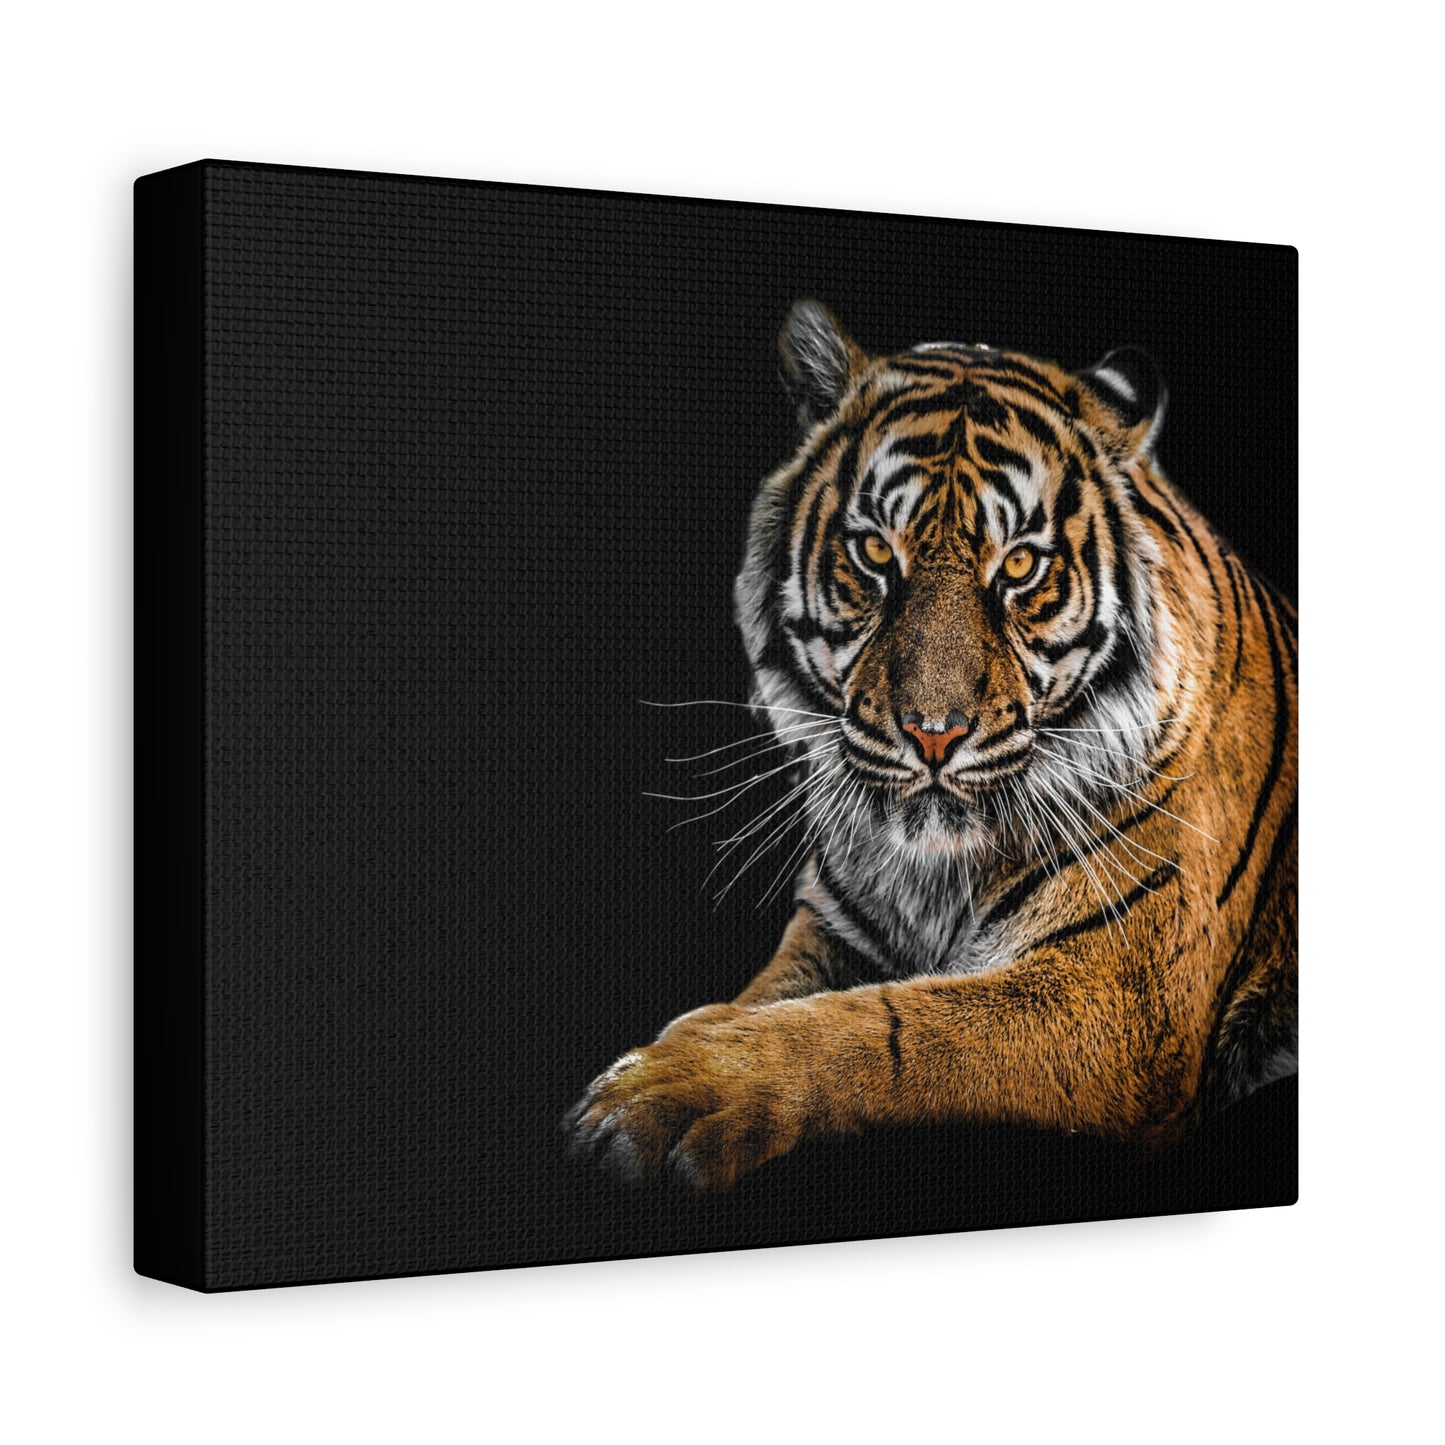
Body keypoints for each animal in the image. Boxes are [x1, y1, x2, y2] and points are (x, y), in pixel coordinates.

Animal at [567, 300, 1298, 1190]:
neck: (933, 873)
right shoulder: (834, 929)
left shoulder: (1116, 995)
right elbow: (768, 998)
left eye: (1019, 565)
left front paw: (671, 1086)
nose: (932, 734)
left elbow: (881, 1027)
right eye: (876, 551)